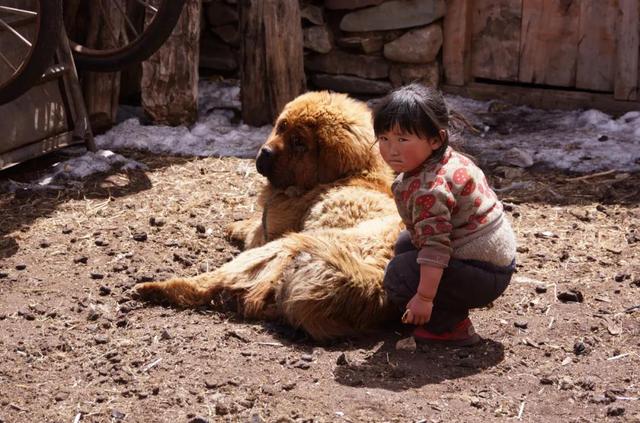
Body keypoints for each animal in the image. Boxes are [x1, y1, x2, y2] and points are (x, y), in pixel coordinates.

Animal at [138, 92, 402, 342]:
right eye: (281, 127)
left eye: (298, 142)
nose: (264, 152)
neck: (350, 175)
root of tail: (371, 279)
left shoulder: (268, 230)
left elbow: (253, 227)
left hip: (277, 248)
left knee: (204, 285)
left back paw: (151, 288)